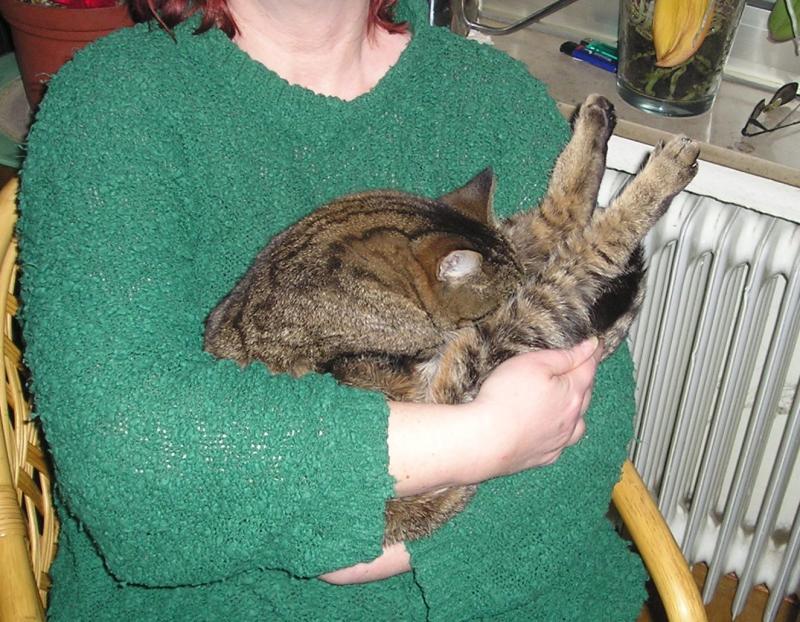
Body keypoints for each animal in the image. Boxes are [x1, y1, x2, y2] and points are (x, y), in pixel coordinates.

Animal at [204, 94, 700, 545]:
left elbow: (559, 216)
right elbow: (588, 239)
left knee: (561, 218)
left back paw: (596, 119)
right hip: (509, 328)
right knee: (592, 246)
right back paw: (662, 172)